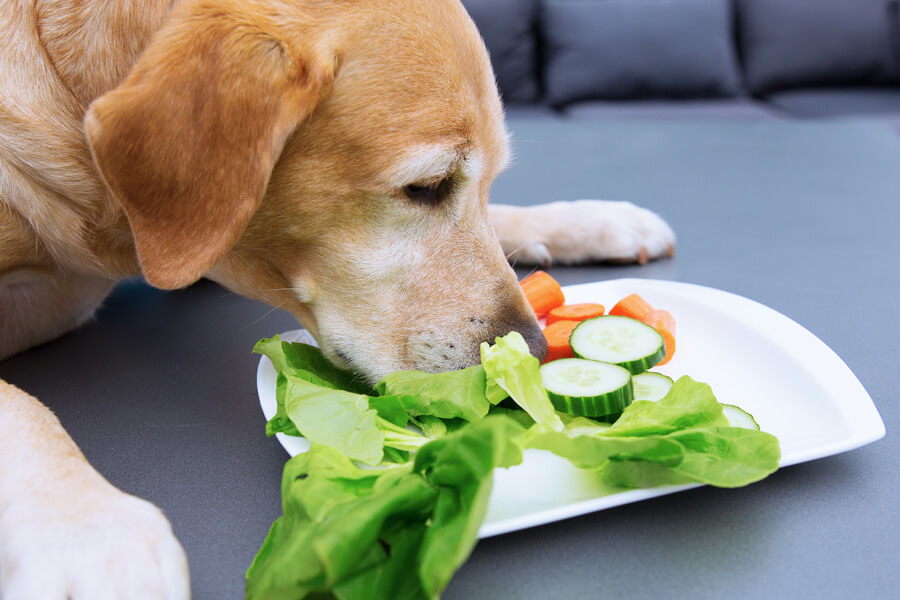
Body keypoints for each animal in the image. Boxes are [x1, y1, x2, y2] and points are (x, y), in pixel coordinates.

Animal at [0, 0, 676, 596]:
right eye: (425, 187)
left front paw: (587, 220)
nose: (533, 350)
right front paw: (90, 532)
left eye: (485, 181)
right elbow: (21, 403)